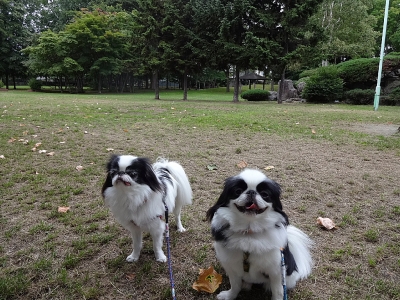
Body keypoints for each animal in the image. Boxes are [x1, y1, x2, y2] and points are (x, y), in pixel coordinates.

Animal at [208, 170, 314, 298]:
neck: (249, 231)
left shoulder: (276, 271)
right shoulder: (232, 266)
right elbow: (235, 285)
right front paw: (229, 296)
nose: (251, 192)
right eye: (238, 191)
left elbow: (278, 292)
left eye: (265, 194)